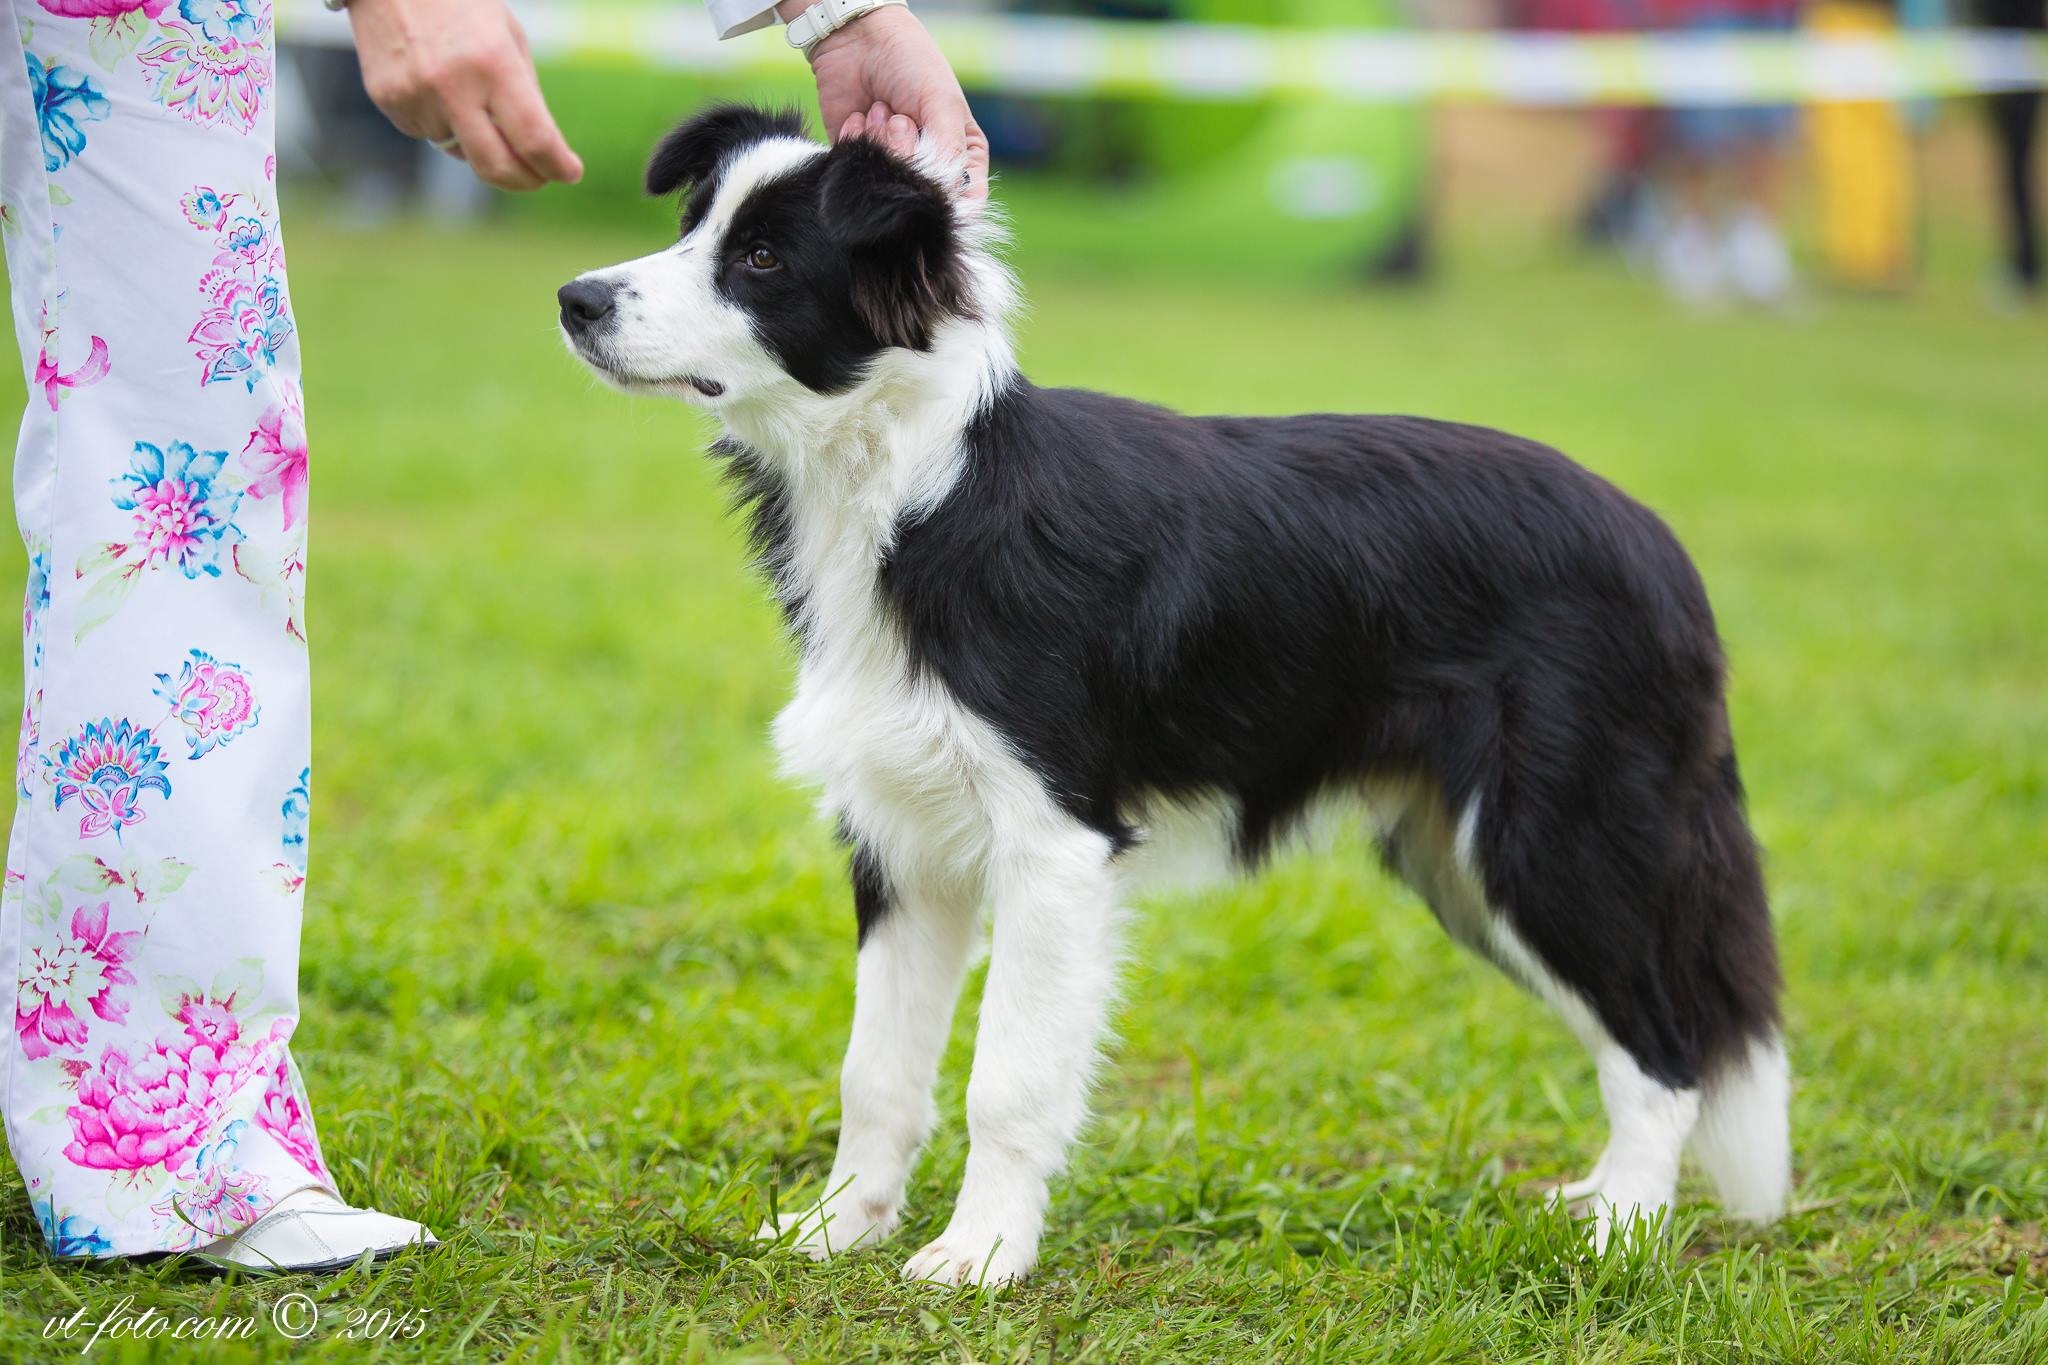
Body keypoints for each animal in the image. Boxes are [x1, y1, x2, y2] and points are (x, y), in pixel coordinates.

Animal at [561, 106, 1794, 1293]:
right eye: (690, 225)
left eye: (762, 257)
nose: (575, 300)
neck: (911, 485)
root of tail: (1660, 549)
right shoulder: (902, 841)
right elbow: (876, 1071)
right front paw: (835, 1231)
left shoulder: (1054, 841)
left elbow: (1006, 1081)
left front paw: (980, 1256)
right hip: (1458, 856)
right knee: (1639, 1035)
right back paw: (1597, 1202)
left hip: (1551, 840)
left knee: (1668, 1046)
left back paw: (1622, 1240)